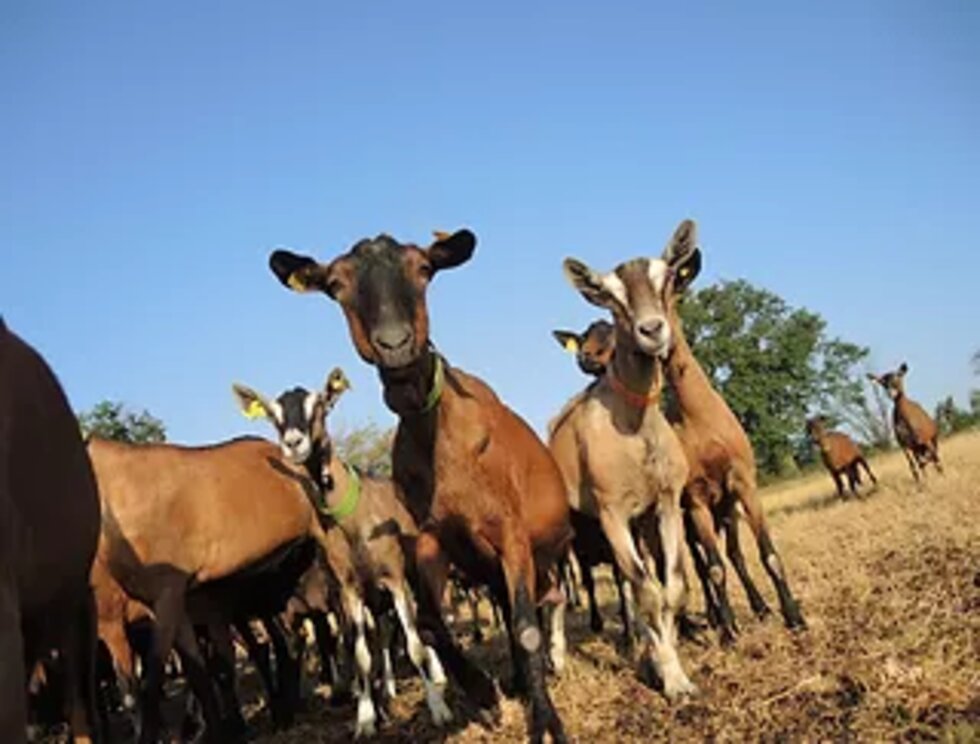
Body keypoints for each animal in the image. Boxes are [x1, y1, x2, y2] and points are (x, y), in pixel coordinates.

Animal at [232, 368, 451, 735]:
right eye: (273, 415)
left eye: (320, 405)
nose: (293, 442)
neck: (354, 521)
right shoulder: (349, 591)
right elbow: (361, 653)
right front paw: (365, 719)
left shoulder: (394, 579)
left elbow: (414, 645)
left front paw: (438, 709)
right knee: (381, 637)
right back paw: (387, 689)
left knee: (424, 623)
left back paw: (438, 677)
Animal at [269, 229, 573, 743]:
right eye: (336, 284)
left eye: (424, 269)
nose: (395, 343)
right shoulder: (430, 537)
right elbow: (429, 624)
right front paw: (484, 693)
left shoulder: (510, 532)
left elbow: (526, 624)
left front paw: (546, 723)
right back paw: (512, 680)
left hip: (549, 553)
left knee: (545, 604)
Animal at [548, 226, 697, 699]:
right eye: (610, 297)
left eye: (666, 278)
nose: (652, 330)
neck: (634, 429)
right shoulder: (611, 512)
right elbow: (646, 592)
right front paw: (673, 681)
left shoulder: (665, 504)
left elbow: (671, 587)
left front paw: (665, 663)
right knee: (556, 591)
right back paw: (556, 658)